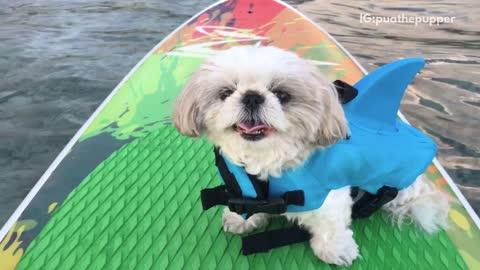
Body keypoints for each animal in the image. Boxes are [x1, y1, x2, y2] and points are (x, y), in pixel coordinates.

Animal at [172, 46, 450, 266]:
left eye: (282, 95)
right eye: (226, 93)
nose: (252, 97)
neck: (268, 158)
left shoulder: (331, 194)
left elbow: (331, 223)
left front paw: (336, 250)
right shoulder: (243, 189)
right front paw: (242, 219)